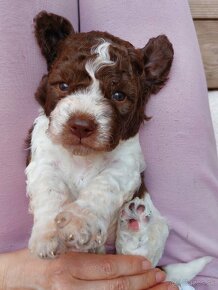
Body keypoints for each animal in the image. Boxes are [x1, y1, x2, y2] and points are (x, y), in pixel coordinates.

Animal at [26, 11, 211, 286]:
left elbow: (102, 186)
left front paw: (78, 221)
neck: (83, 156)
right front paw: (48, 235)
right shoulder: (43, 158)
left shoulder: (126, 165)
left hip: (157, 228)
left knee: (140, 259)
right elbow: (50, 193)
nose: (81, 125)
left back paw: (135, 227)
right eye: (63, 86)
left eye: (118, 95)